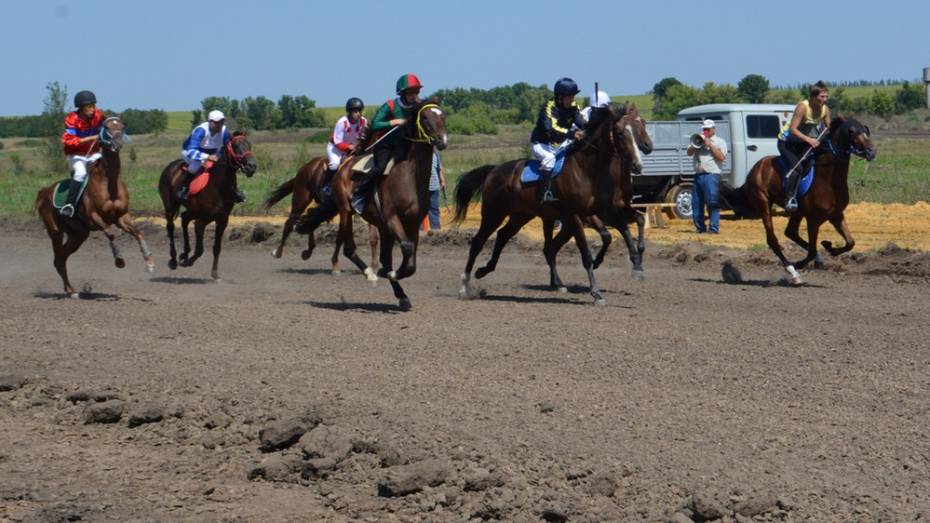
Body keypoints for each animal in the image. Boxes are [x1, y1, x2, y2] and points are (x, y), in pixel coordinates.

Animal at [35, 117, 156, 298]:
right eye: (106, 127)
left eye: (122, 126)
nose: (117, 142)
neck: (108, 183)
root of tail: (46, 192)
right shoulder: (94, 217)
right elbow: (111, 233)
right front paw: (119, 260)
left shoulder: (121, 217)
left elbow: (138, 233)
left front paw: (149, 262)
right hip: (55, 231)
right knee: (58, 259)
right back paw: (71, 291)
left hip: (78, 235)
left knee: (62, 257)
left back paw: (70, 290)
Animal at [157, 130, 256, 280]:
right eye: (236, 146)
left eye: (249, 145)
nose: (252, 166)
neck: (218, 186)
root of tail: (169, 167)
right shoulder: (201, 221)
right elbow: (200, 250)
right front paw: (187, 262)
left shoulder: (222, 220)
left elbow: (217, 248)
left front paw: (214, 273)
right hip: (170, 207)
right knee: (171, 228)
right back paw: (174, 260)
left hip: (192, 210)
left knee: (184, 218)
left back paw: (184, 253)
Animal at [294, 100, 446, 310]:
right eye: (424, 117)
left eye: (443, 116)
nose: (442, 140)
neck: (410, 176)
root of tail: (344, 166)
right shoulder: (391, 218)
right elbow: (406, 249)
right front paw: (386, 272)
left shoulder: (413, 223)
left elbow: (410, 262)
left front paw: (394, 277)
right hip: (345, 210)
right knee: (349, 248)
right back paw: (369, 273)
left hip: (378, 224)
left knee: (382, 256)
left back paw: (400, 294)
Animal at [452, 104, 644, 304]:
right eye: (620, 133)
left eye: (638, 130)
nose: (637, 165)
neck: (587, 169)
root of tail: (493, 170)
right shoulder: (576, 216)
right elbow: (586, 254)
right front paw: (596, 292)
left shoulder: (605, 211)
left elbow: (625, 229)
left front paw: (637, 266)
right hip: (493, 213)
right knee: (478, 242)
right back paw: (464, 286)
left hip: (521, 215)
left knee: (503, 235)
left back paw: (484, 270)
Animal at [720, 116, 872, 284]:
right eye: (851, 131)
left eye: (865, 129)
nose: (871, 152)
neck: (828, 179)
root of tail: (755, 169)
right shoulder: (813, 219)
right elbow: (812, 249)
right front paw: (800, 263)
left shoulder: (836, 215)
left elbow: (851, 242)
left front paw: (829, 247)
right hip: (763, 203)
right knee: (773, 240)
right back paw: (793, 272)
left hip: (797, 211)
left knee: (790, 232)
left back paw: (816, 260)